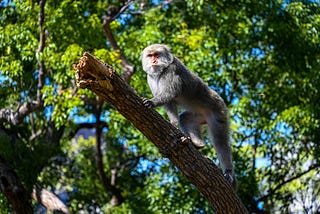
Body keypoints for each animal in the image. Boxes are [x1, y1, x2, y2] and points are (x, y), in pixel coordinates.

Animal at [141, 44, 236, 187]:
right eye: (150, 55)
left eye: (156, 54)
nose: (153, 61)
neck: (162, 70)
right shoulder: (150, 78)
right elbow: (169, 103)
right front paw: (173, 122)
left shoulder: (171, 71)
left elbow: (169, 94)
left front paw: (152, 102)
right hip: (200, 115)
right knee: (185, 119)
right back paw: (198, 144)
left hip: (218, 111)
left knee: (220, 141)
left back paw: (228, 171)